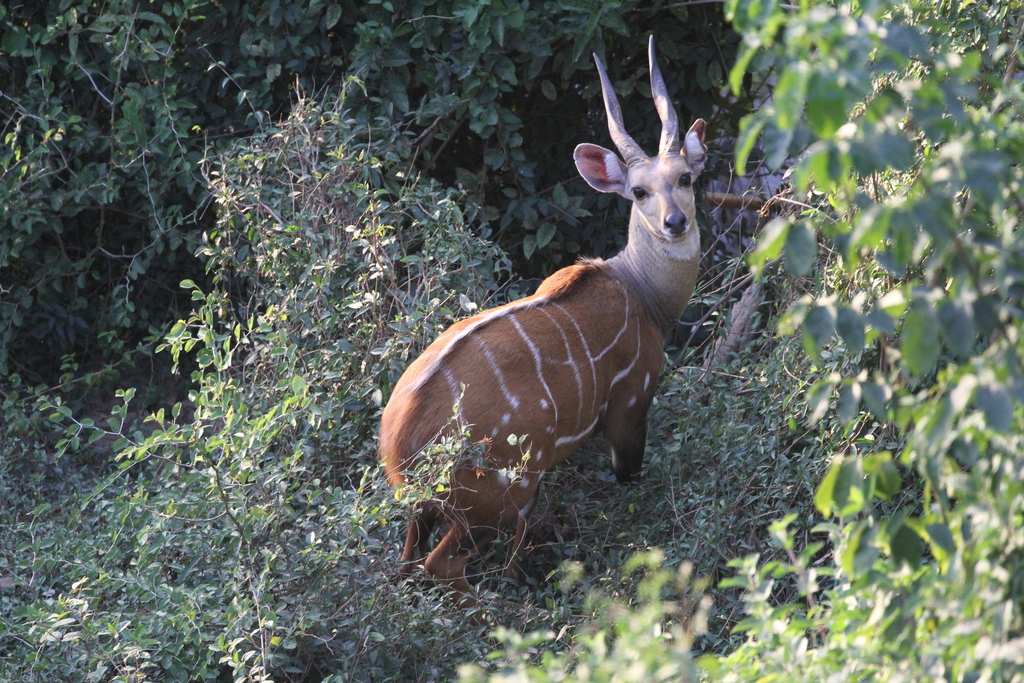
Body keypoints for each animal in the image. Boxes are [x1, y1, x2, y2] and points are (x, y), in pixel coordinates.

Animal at [380, 38, 708, 602]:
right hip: (499, 494)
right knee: (440, 564)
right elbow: (629, 478)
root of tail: (397, 451)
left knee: (407, 562)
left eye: (685, 178)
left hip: (431, 511)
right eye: (639, 191)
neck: (642, 293)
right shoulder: (630, 405)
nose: (675, 222)